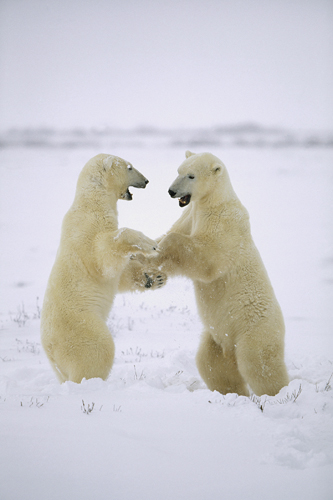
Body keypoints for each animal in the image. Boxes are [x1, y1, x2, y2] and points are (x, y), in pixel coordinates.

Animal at [40, 153, 163, 382]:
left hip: (58, 363)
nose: (146, 180)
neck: (92, 202)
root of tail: (50, 349)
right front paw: (149, 243)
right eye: (130, 167)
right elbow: (104, 259)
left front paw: (154, 278)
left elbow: (119, 274)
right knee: (98, 350)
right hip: (81, 327)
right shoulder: (87, 232)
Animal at [151, 150, 288, 396]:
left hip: (254, 329)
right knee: (212, 365)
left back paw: (279, 394)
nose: (171, 191)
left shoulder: (224, 222)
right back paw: (232, 393)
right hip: (217, 336)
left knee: (259, 364)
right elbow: (170, 233)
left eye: (191, 175)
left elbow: (206, 257)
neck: (214, 201)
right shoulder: (190, 214)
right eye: (178, 170)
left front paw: (163, 247)